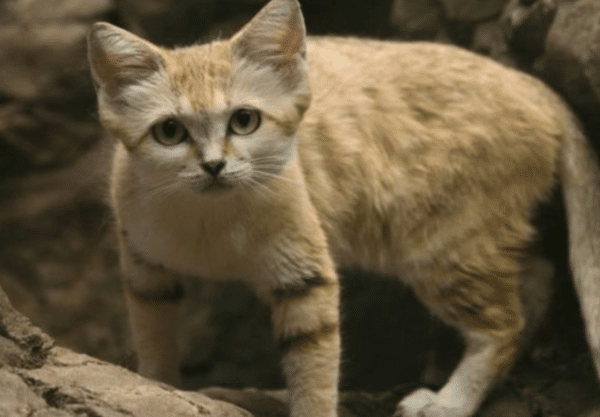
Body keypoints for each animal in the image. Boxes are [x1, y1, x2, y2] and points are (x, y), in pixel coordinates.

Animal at [86, 0, 600, 414]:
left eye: (244, 121)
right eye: (169, 132)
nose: (214, 166)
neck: (209, 219)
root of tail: (530, 84)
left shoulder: (305, 276)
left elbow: (313, 372)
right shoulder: (145, 269)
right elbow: (153, 342)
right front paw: (157, 388)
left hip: (446, 246)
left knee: (504, 326)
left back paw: (450, 402)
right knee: (537, 281)